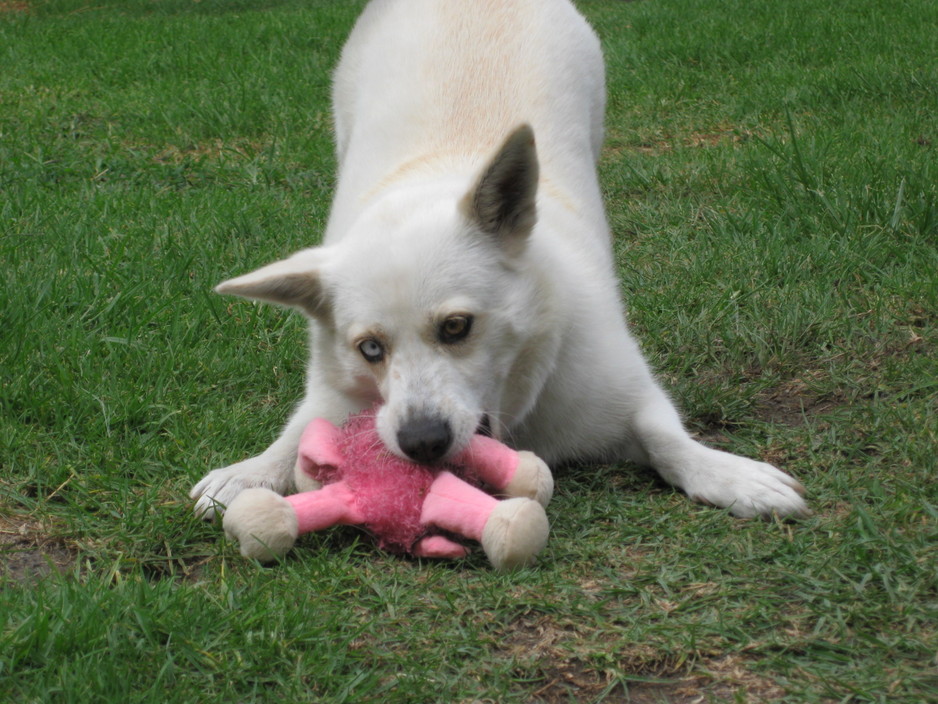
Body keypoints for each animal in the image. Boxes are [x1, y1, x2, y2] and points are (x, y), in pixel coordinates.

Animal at [190, 1, 804, 524]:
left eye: (456, 327)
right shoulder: (334, 389)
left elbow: (668, 440)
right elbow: (301, 427)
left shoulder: (627, 392)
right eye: (370, 349)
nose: (422, 443)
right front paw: (253, 472)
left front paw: (729, 475)